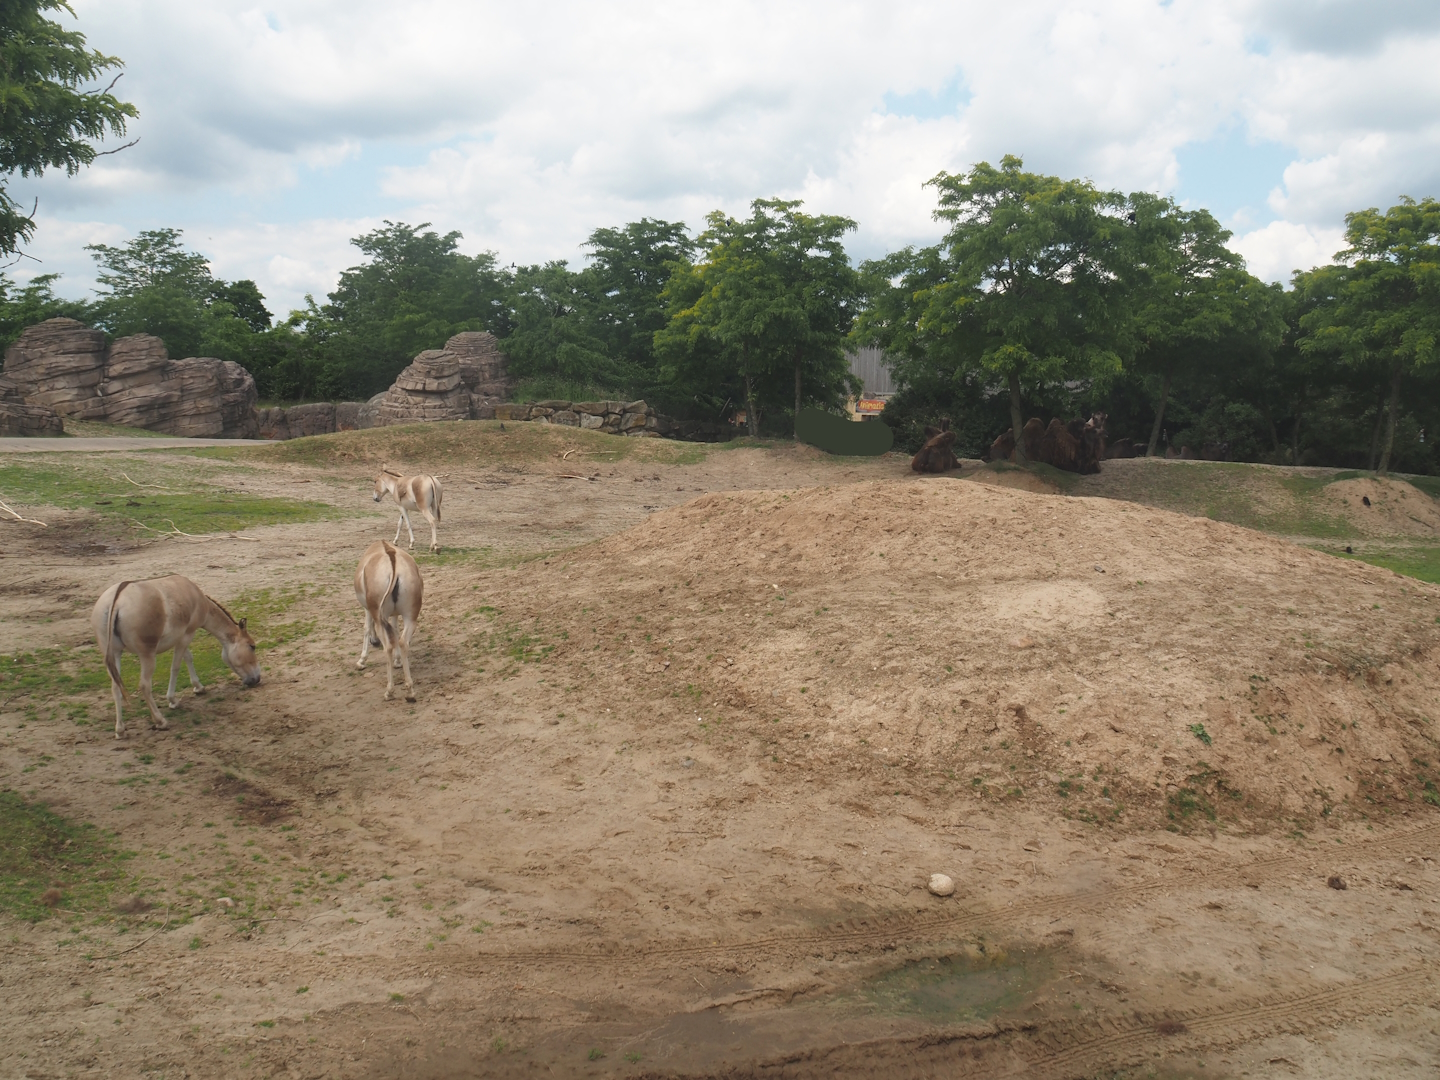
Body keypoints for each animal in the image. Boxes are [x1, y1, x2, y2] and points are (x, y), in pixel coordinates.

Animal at [90, 576, 261, 739]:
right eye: (252, 646)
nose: (257, 679)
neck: (198, 599)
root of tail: (116, 600)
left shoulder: (181, 637)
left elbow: (188, 657)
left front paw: (198, 687)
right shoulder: (188, 634)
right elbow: (176, 666)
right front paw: (173, 701)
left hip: (114, 653)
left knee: (115, 687)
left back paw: (120, 730)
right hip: (147, 654)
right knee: (145, 685)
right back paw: (160, 721)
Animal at [355, 539, 424, 702]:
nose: (375, 643)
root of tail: (391, 556)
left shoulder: (368, 610)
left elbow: (366, 628)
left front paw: (361, 661)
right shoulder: (394, 614)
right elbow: (395, 631)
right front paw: (398, 661)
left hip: (381, 618)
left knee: (387, 647)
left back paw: (389, 691)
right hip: (410, 618)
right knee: (403, 642)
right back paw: (410, 691)